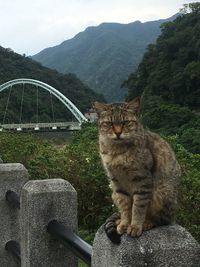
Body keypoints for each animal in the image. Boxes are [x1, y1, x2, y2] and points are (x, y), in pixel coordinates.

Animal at [94, 97, 181, 238]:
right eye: (110, 123)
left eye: (126, 122)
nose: (118, 132)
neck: (117, 152)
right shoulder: (117, 183)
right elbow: (125, 208)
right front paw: (124, 224)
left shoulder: (142, 181)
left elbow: (138, 208)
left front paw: (135, 226)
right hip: (114, 194)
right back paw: (118, 221)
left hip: (161, 193)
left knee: (162, 220)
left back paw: (147, 223)